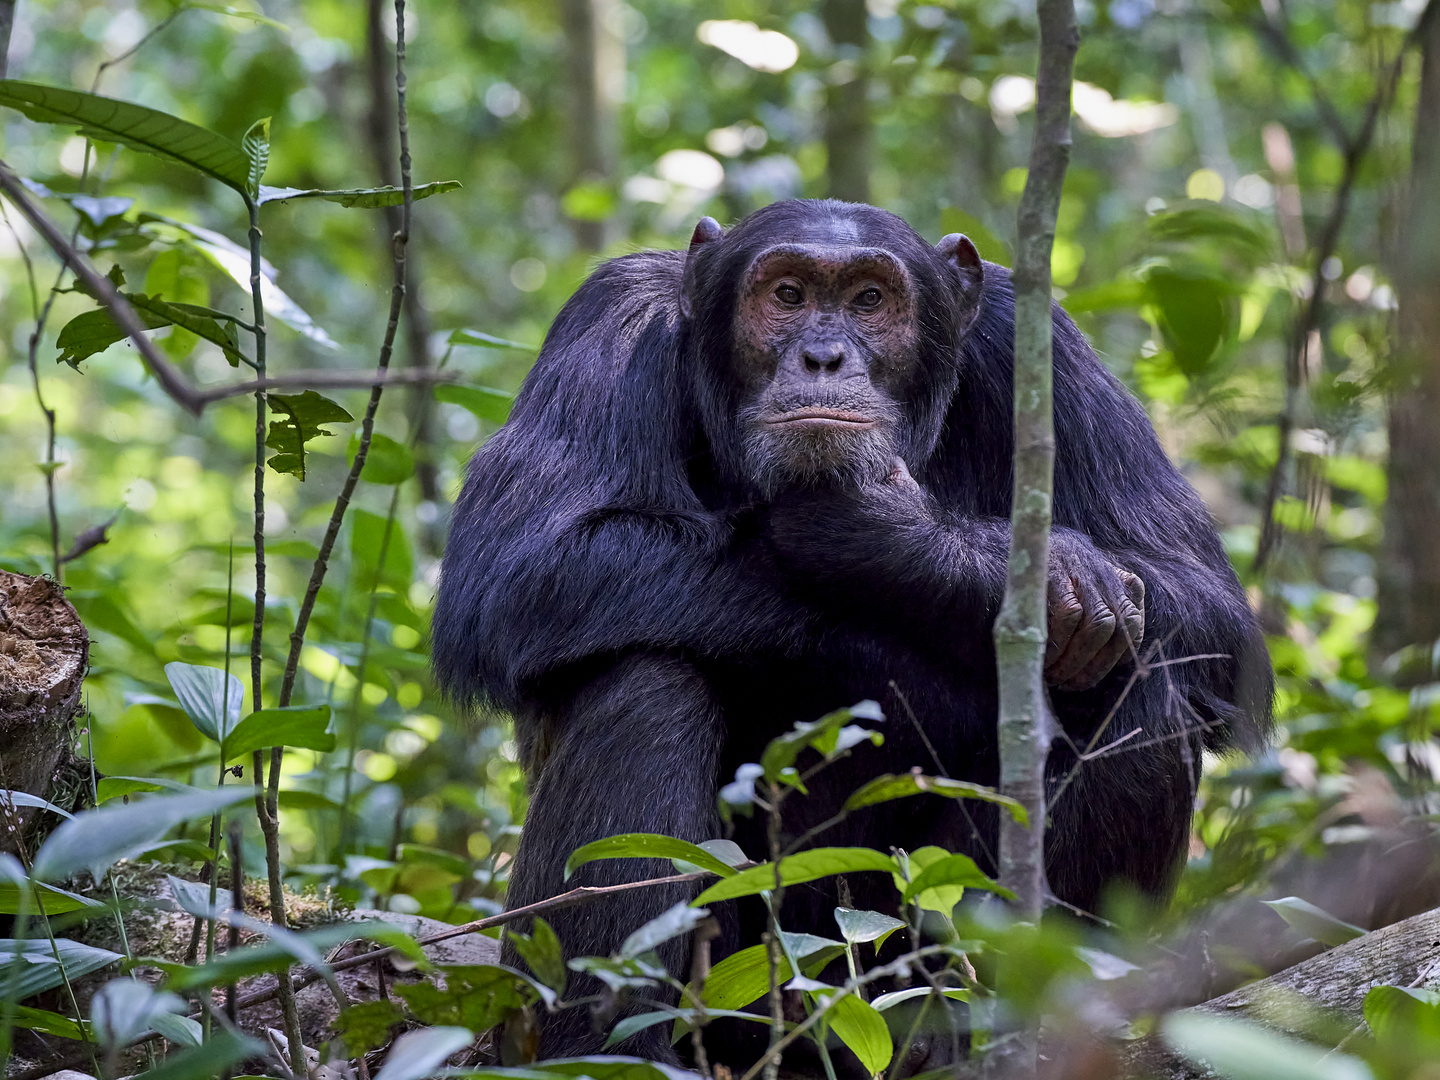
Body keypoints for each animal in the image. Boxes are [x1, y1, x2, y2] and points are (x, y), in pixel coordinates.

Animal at [429, 198, 1272, 1059]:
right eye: (788, 294)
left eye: (870, 300)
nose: (824, 356)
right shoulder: (612, 316)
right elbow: (524, 563)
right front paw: (961, 566)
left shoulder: (1042, 345)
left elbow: (1205, 605)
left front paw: (901, 534)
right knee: (645, 684)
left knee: (1134, 688)